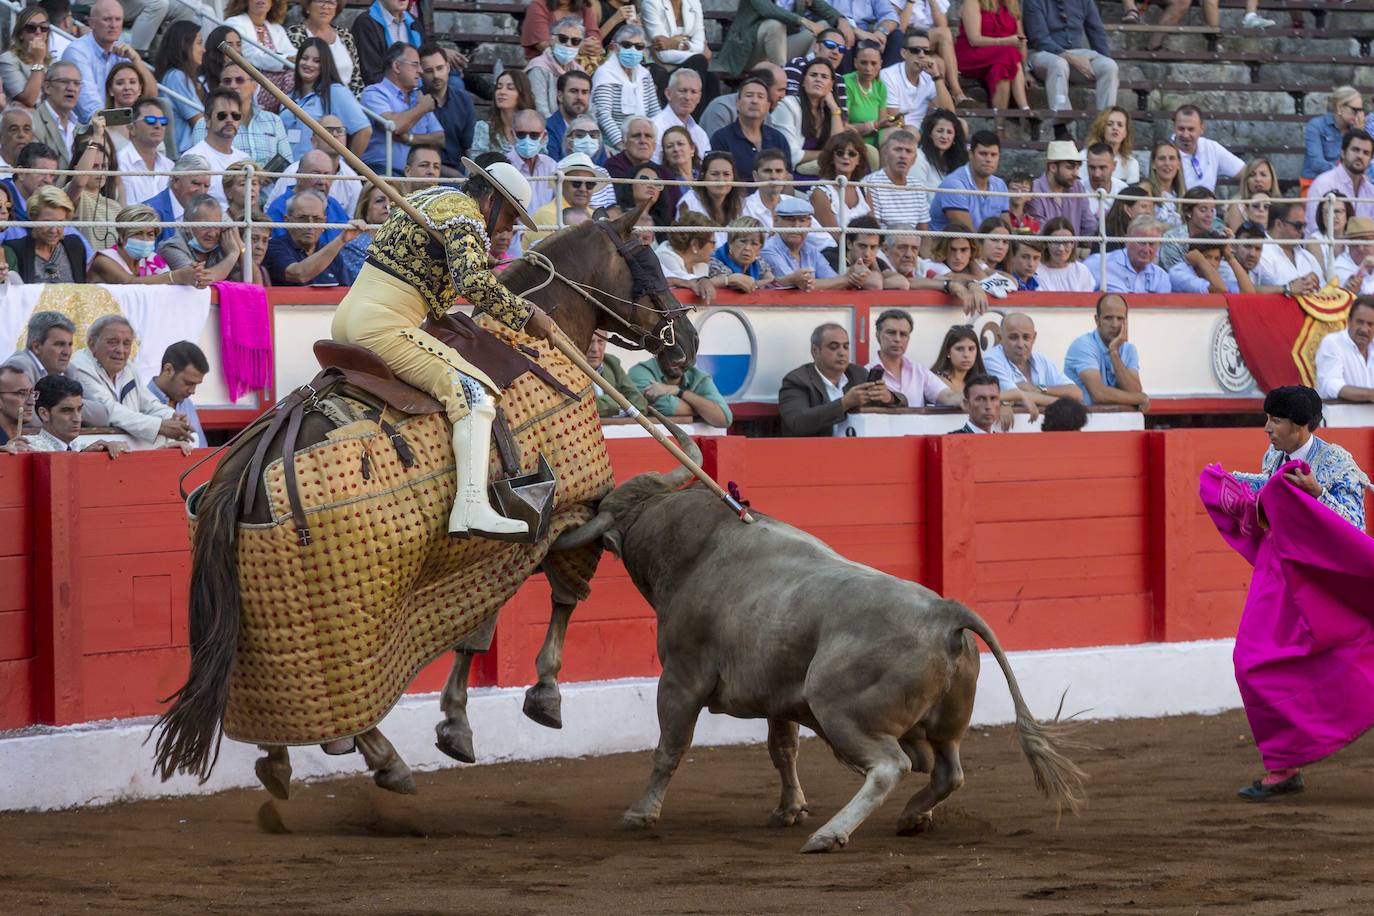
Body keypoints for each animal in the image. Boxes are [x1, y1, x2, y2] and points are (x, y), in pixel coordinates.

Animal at [153, 204, 697, 796]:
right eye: (649, 262)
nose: (689, 343)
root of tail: (239, 473)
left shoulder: (497, 550)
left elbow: (482, 624)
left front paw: (456, 723)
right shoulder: (577, 507)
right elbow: (562, 595)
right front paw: (544, 696)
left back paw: (282, 761)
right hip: (352, 609)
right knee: (343, 692)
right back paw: (380, 757)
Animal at [555, 425, 1082, 856]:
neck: (690, 548)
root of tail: (946, 611)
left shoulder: (681, 679)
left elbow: (670, 746)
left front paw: (640, 813)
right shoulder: (776, 693)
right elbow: (782, 749)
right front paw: (789, 809)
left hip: (840, 709)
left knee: (890, 766)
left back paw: (831, 834)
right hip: (946, 722)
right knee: (947, 769)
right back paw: (912, 816)